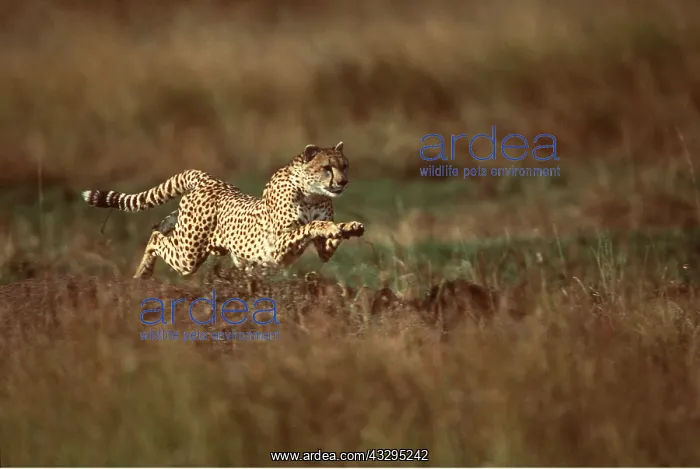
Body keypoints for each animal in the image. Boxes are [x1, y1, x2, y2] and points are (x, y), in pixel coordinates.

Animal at [81, 141, 365, 279]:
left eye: (345, 165)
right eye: (327, 168)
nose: (343, 182)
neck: (312, 194)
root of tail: (208, 178)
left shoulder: (321, 251)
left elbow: (328, 241)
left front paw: (349, 227)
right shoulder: (278, 244)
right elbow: (310, 225)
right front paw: (329, 226)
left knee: (160, 225)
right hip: (188, 255)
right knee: (155, 238)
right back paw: (143, 273)